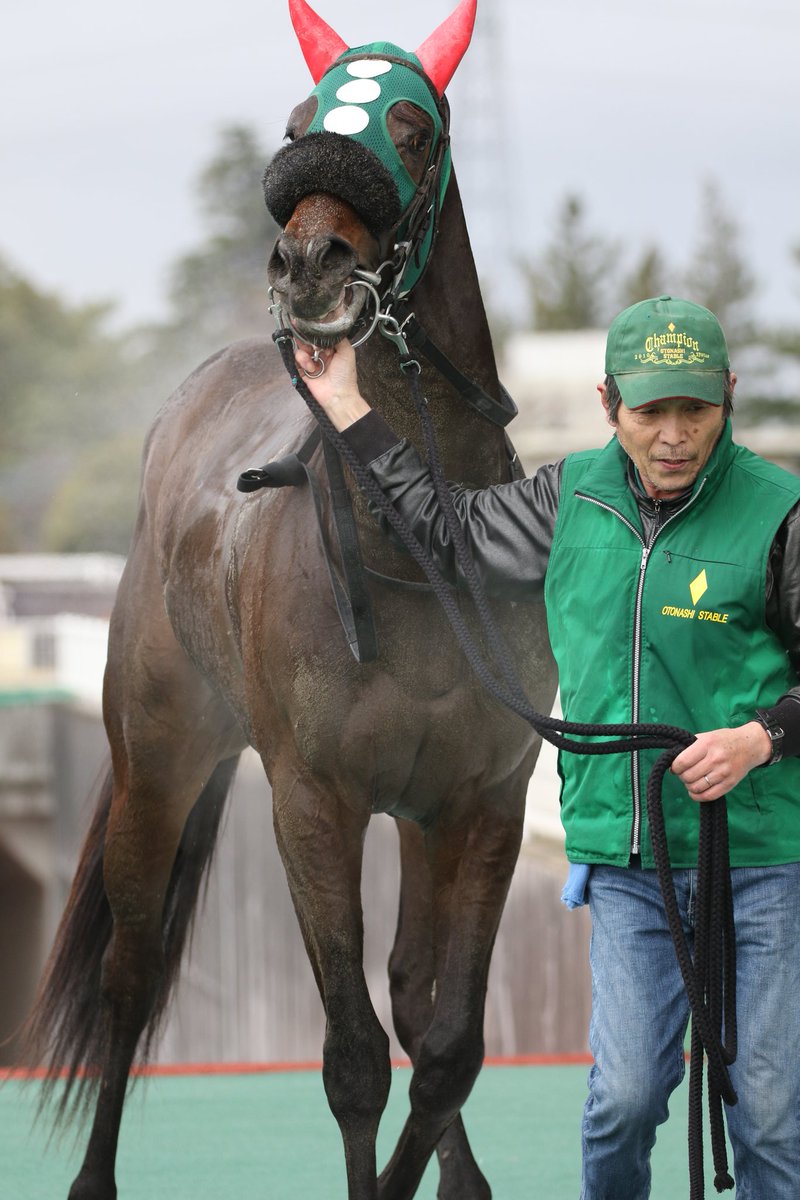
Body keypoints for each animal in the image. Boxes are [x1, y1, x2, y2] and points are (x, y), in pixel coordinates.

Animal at [23, 1, 557, 1197]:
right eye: (297, 124)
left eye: (411, 127)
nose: (309, 261)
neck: (418, 543)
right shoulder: (312, 798)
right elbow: (354, 1058)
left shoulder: (483, 798)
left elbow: (445, 1044)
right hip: (156, 758)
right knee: (132, 971)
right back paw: (92, 1175)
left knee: (412, 988)